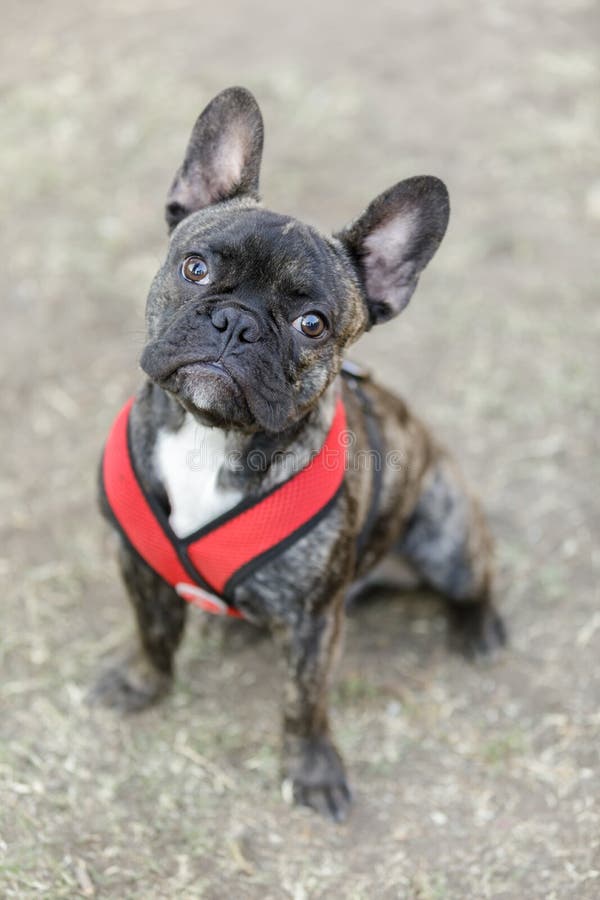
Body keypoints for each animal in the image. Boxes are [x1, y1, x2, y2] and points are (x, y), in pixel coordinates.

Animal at [92, 86, 506, 824]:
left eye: (312, 324)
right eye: (196, 268)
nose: (236, 323)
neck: (211, 435)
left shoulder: (314, 624)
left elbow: (303, 703)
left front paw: (312, 771)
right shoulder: (138, 565)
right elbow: (152, 634)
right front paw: (142, 683)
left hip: (444, 534)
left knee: (478, 574)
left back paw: (481, 628)